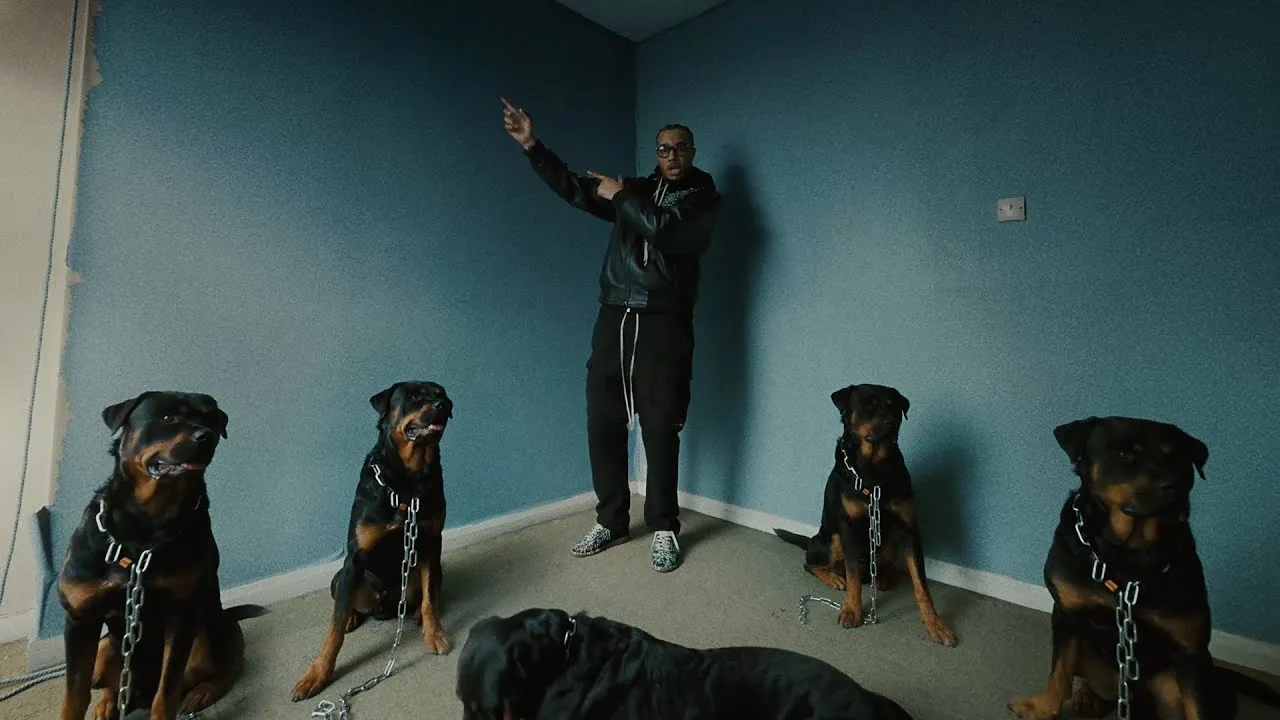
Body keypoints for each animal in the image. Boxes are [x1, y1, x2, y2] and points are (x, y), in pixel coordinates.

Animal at [57, 391, 261, 720]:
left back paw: (201, 693)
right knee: (110, 680)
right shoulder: (80, 618)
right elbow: (74, 695)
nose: (207, 437)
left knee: (223, 667)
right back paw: (108, 703)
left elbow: (167, 692)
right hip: (106, 650)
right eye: (167, 417)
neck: (146, 524)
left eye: (211, 419)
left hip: (206, 639)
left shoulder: (180, 616)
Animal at [292, 381, 454, 701]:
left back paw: (416, 615)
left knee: (427, 593)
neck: (407, 480)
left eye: (440, 393)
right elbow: (334, 628)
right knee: (344, 601)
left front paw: (435, 633)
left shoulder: (430, 543)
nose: (445, 404)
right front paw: (318, 673)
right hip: (339, 577)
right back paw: (354, 617)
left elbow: (430, 598)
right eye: (414, 396)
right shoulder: (354, 560)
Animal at [774, 384, 956, 646]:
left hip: (888, 542)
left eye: (895, 406)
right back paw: (834, 577)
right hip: (832, 540)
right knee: (812, 564)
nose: (892, 422)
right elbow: (853, 579)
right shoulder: (848, 527)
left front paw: (934, 623)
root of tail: (811, 540)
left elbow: (921, 584)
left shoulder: (909, 528)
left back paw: (883, 578)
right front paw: (852, 609)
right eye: (868, 405)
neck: (875, 468)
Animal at [1008, 416, 1280, 719]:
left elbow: (1198, 707)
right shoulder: (1068, 614)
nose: (1176, 485)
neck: (1130, 552)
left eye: (1177, 456)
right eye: (1124, 453)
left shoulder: (1190, 651)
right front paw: (1041, 707)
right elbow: (1059, 670)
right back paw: (1088, 697)